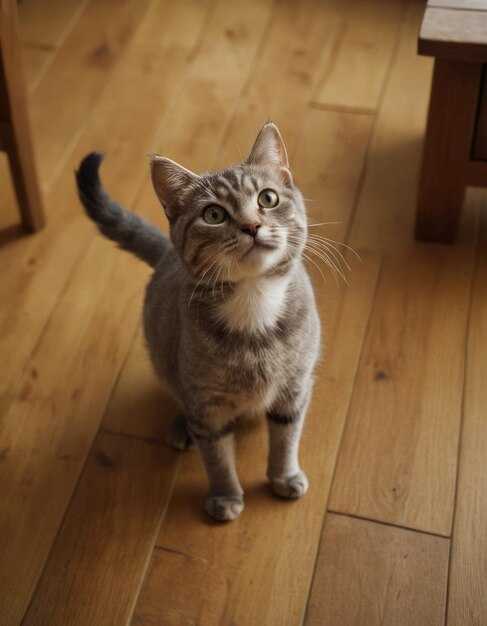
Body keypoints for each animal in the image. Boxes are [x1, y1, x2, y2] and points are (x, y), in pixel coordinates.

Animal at [75, 123, 320, 520]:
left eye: (267, 199)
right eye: (214, 215)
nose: (252, 225)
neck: (254, 302)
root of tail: (165, 255)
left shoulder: (295, 386)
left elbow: (286, 437)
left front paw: (284, 476)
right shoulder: (206, 403)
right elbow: (216, 454)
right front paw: (225, 495)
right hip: (167, 363)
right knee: (178, 396)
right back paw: (181, 426)